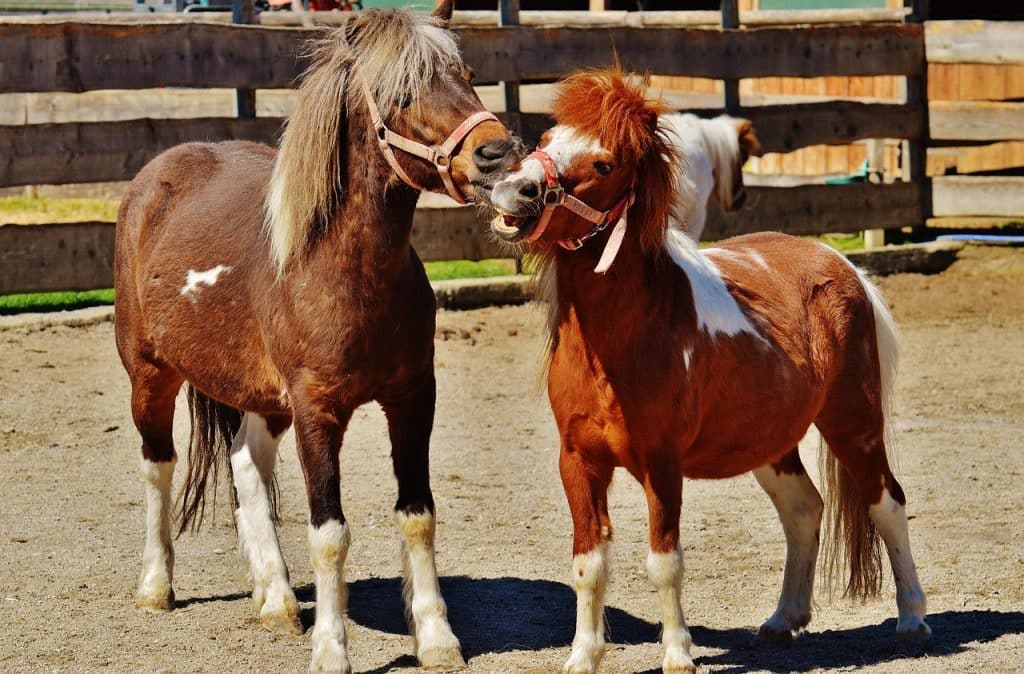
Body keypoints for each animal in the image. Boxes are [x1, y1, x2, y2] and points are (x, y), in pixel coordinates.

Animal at [116, 2, 524, 667]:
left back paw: (276, 597)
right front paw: (332, 650)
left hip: (261, 398)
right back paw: (157, 586)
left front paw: (436, 639)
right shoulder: (316, 411)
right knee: (159, 466)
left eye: (467, 76)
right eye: (401, 93)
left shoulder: (413, 399)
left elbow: (418, 515)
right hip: (150, 374)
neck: (342, 272)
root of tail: (157, 176)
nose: (499, 157)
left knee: (246, 464)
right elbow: (329, 532)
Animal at [487, 69, 929, 671]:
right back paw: (783, 619)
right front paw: (583, 655)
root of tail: (841, 264)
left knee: (887, 503)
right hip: (771, 441)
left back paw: (913, 618)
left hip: (854, 424)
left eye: (603, 164)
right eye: (549, 138)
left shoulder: (662, 465)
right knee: (804, 511)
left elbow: (664, 561)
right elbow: (589, 563)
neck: (623, 340)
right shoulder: (578, 462)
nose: (514, 189)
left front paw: (678, 653)